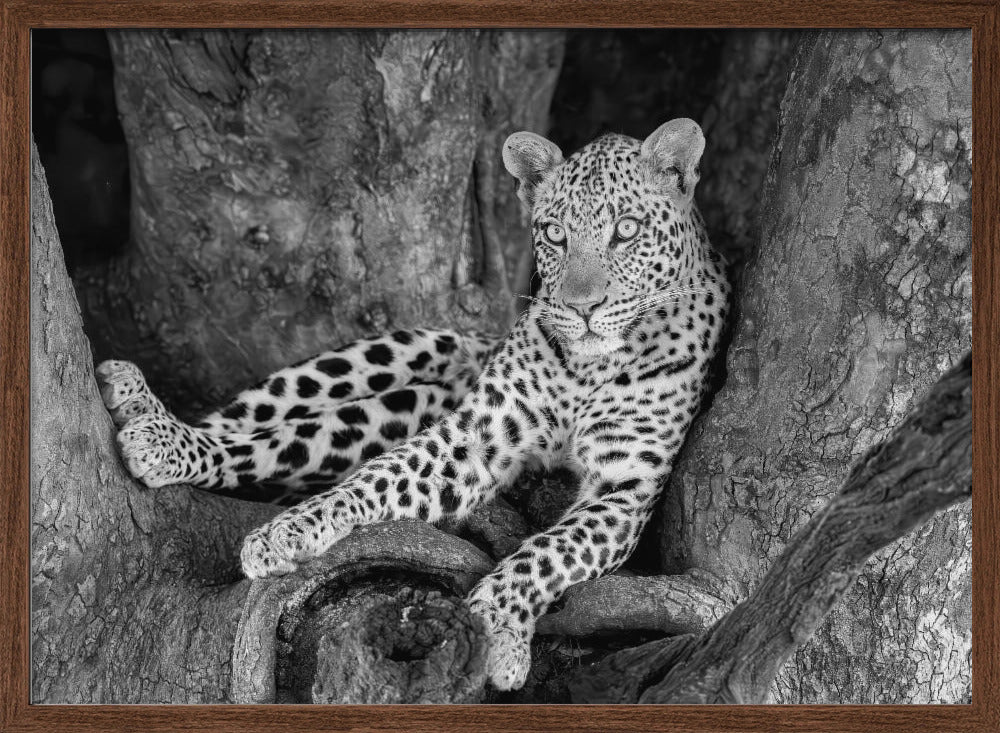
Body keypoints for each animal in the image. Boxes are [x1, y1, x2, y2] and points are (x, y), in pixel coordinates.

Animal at [98, 118, 730, 691]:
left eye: (627, 230)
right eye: (553, 233)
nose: (581, 308)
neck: (589, 366)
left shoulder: (628, 485)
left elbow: (550, 551)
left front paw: (493, 628)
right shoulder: (472, 436)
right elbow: (376, 478)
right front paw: (289, 532)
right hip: (383, 360)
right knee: (245, 430)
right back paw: (149, 419)